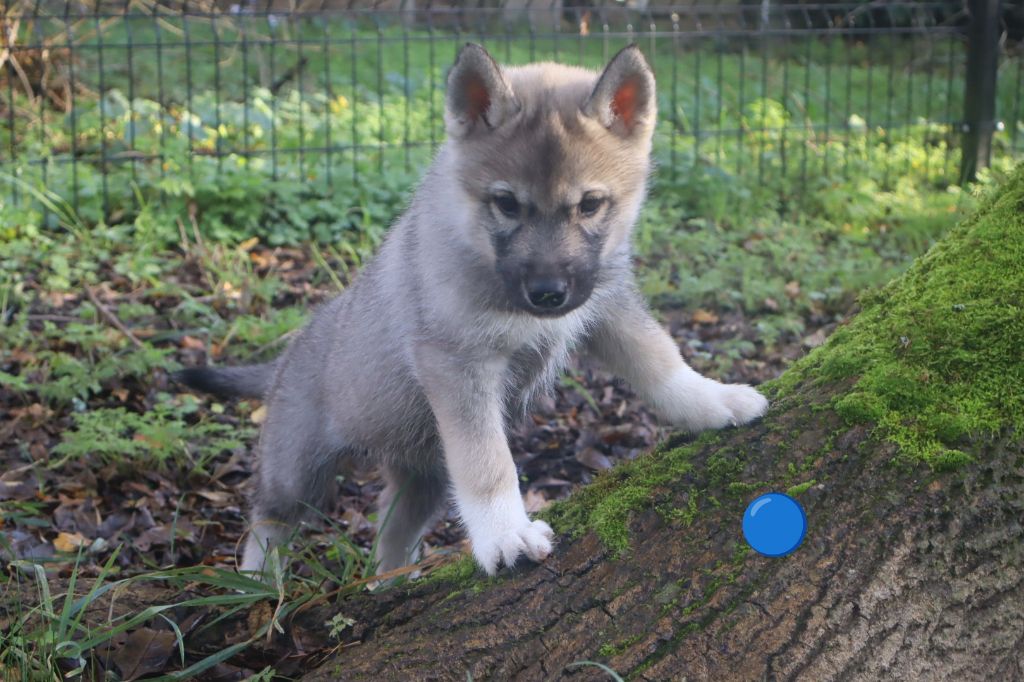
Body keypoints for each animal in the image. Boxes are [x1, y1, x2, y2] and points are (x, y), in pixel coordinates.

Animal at [176, 43, 768, 578]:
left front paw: (713, 401)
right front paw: (506, 534)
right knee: (267, 521)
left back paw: (391, 585)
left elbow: (659, 359)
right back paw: (258, 588)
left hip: (425, 479)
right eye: (506, 204)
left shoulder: (607, 307)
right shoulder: (459, 366)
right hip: (298, 469)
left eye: (590, 205)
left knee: (390, 539)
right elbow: (488, 464)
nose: (548, 294)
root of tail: (285, 360)